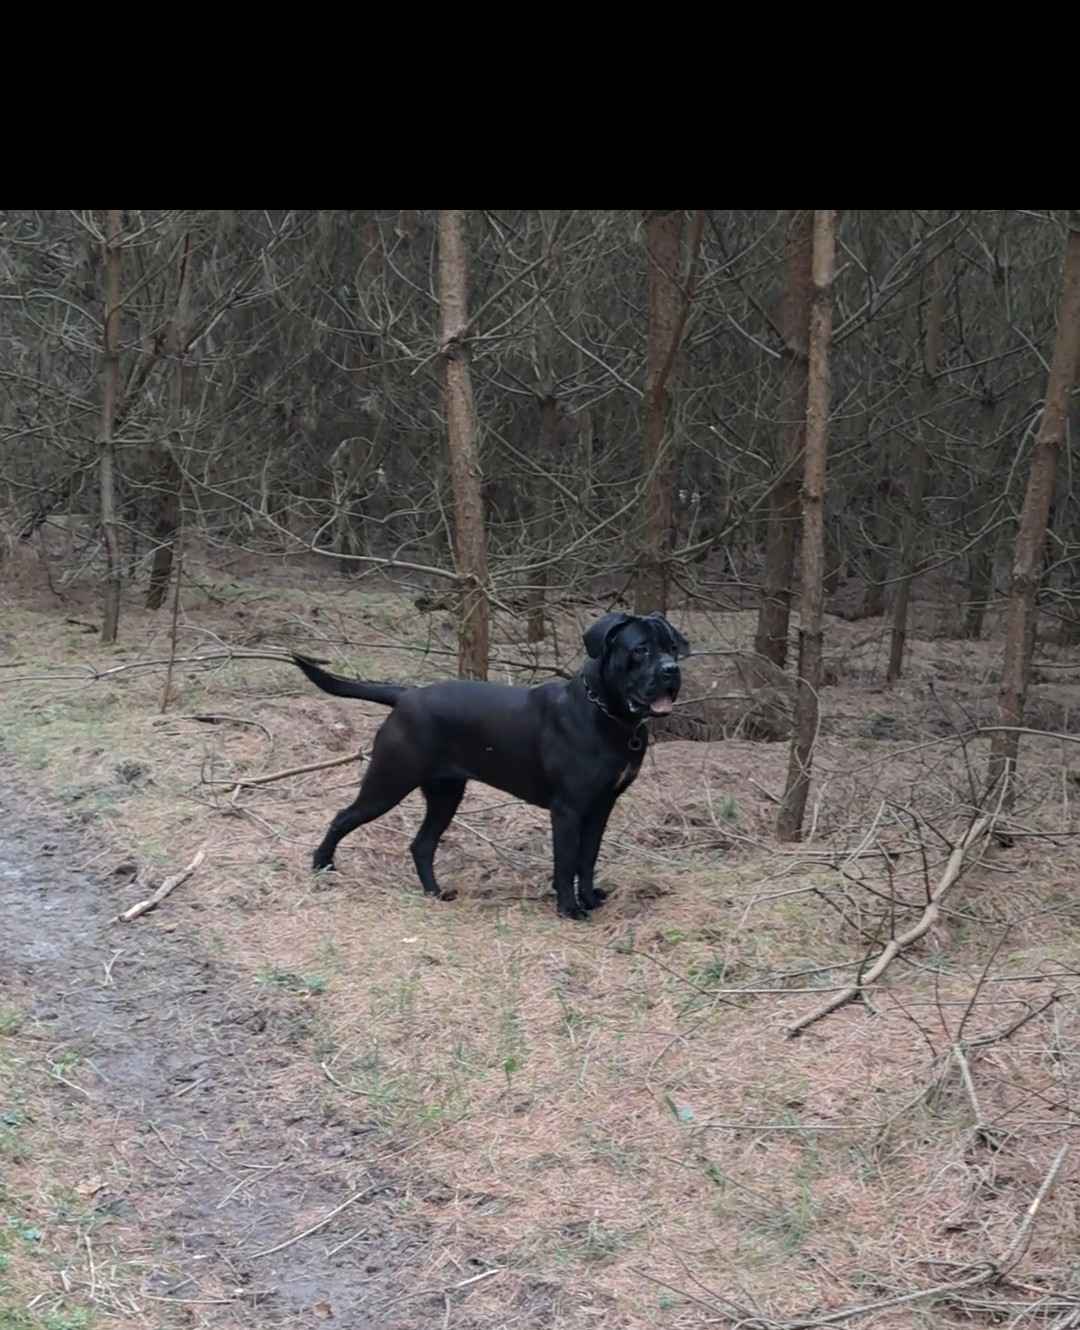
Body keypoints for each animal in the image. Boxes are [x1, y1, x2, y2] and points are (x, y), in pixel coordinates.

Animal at [291, 609, 686, 915]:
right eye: (640, 649)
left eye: (672, 648)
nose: (671, 670)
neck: (608, 715)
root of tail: (405, 696)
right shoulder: (568, 808)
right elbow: (566, 861)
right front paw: (569, 909)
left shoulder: (602, 805)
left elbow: (587, 858)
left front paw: (589, 899)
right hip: (389, 781)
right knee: (343, 817)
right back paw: (322, 865)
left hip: (445, 793)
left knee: (422, 844)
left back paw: (435, 893)